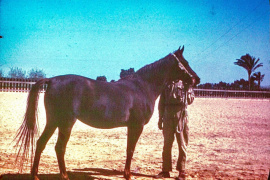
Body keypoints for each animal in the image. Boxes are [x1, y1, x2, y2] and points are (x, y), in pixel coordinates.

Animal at [15, 46, 200, 179]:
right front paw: (128, 175)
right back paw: (64, 176)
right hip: (66, 123)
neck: (142, 86)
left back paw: (36, 176)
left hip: (53, 121)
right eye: (185, 62)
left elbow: (129, 149)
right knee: (59, 148)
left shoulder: (131, 126)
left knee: (40, 143)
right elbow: (130, 150)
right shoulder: (137, 126)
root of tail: (52, 80)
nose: (196, 79)